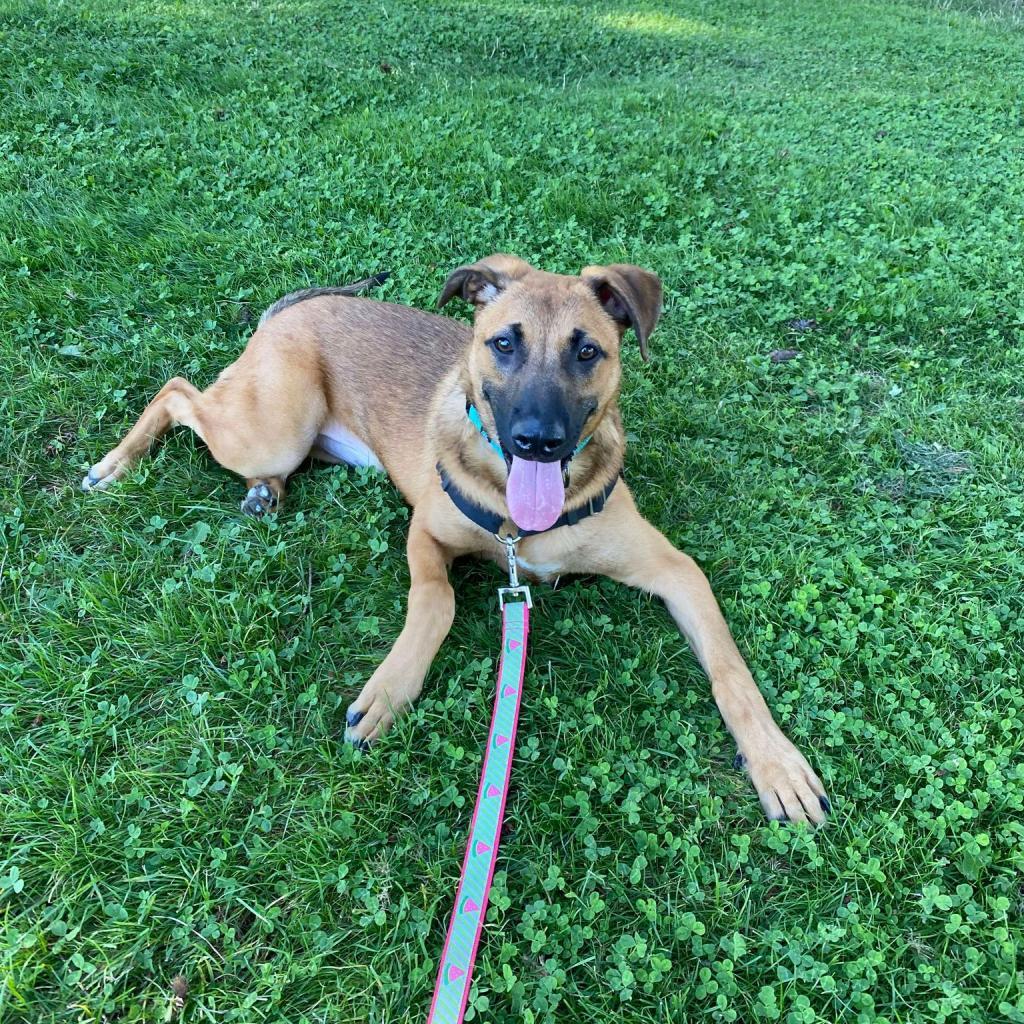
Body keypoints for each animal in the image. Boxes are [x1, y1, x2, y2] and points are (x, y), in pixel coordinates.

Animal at [83, 253, 827, 823]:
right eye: (504, 343)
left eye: (588, 351)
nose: (536, 439)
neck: (522, 525)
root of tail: (293, 311)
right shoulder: (425, 533)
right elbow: (435, 602)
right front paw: (390, 690)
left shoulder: (675, 569)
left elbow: (732, 672)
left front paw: (777, 764)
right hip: (272, 426)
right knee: (177, 390)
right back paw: (116, 464)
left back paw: (266, 492)